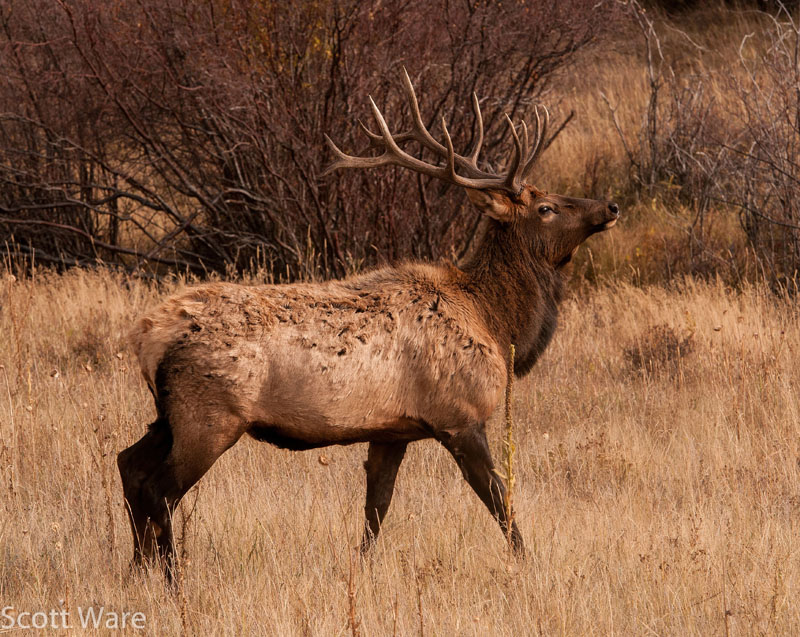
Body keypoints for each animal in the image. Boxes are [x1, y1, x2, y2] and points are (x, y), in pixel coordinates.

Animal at [118, 69, 620, 577]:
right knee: (160, 489)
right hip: (210, 415)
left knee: (129, 465)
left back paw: (138, 569)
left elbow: (376, 508)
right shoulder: (460, 414)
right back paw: (171, 576)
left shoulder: (391, 430)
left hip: (171, 413)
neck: (496, 325)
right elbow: (500, 500)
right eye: (546, 208)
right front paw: (527, 562)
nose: (610, 207)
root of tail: (146, 335)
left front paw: (360, 568)